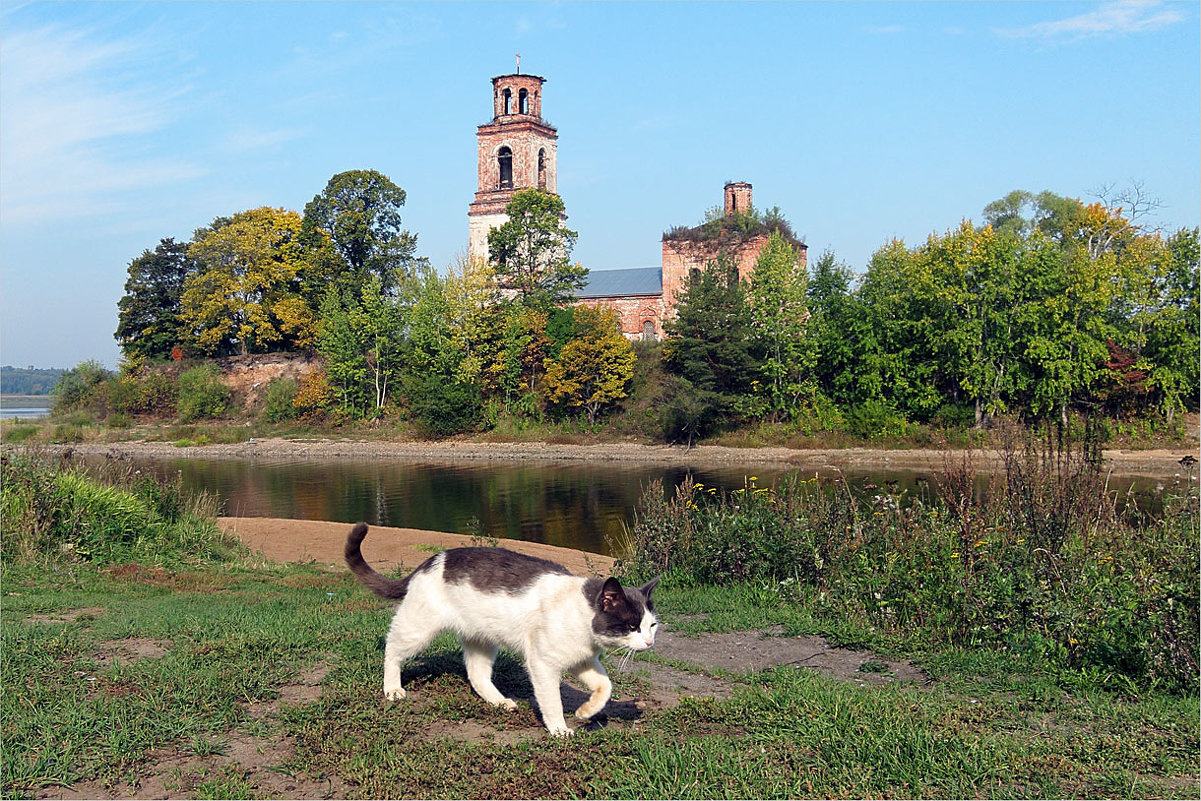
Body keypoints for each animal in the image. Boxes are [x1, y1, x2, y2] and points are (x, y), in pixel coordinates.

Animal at [343, 523, 662, 734]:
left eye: (652, 625)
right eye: (632, 626)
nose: (649, 643)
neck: (579, 613)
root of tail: (430, 561)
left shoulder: (581, 660)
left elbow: (605, 686)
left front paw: (586, 712)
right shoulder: (542, 663)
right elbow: (552, 701)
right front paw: (559, 729)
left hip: (482, 640)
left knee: (477, 675)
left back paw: (499, 702)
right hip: (418, 629)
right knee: (392, 649)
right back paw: (392, 689)